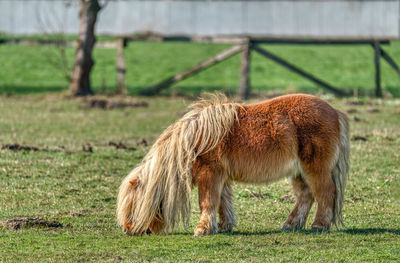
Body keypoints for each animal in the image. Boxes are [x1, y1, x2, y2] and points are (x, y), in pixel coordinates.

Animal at [117, 94, 348, 236]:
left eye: (132, 206)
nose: (127, 229)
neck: (192, 142)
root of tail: (335, 112)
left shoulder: (209, 175)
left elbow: (207, 202)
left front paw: (202, 229)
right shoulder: (220, 177)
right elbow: (222, 202)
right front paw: (223, 226)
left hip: (315, 169)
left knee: (324, 193)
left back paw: (319, 226)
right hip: (299, 172)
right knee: (305, 197)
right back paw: (289, 225)